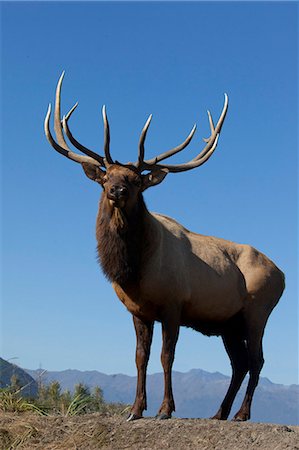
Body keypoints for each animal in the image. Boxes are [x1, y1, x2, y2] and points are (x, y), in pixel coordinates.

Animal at [44, 73, 286, 422]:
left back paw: (241, 413)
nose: (116, 190)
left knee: (256, 360)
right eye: (106, 177)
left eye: (135, 180)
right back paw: (219, 413)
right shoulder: (138, 311)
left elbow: (166, 357)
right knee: (239, 363)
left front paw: (165, 409)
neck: (133, 271)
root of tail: (283, 275)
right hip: (229, 322)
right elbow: (139, 357)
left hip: (258, 310)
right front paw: (135, 409)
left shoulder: (174, 304)